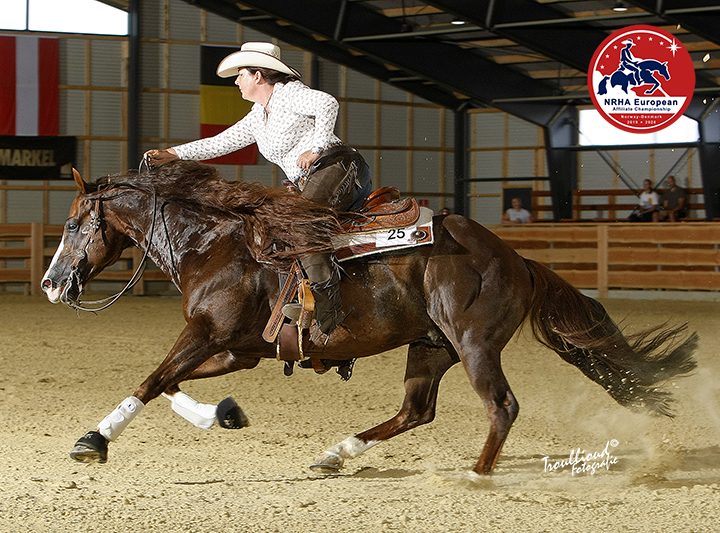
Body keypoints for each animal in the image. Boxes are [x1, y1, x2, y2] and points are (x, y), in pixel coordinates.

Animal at [40, 161, 696, 474]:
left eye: (71, 223)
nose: (50, 284)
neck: (213, 243)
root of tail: (516, 258)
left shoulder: (206, 335)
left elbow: (153, 378)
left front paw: (92, 441)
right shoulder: (235, 349)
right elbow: (170, 384)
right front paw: (223, 414)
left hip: (474, 343)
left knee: (501, 406)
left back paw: (477, 474)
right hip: (430, 345)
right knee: (416, 410)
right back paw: (338, 454)